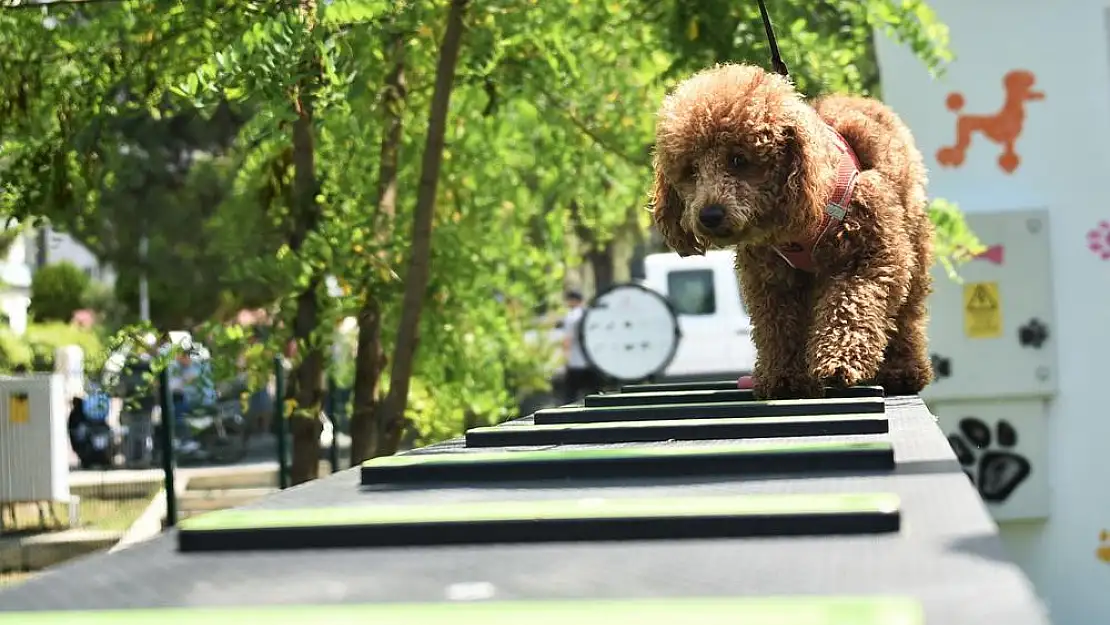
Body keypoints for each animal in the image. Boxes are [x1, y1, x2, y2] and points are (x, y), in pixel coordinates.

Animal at [648, 62, 936, 395]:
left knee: (907, 316)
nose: (709, 215)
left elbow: (850, 305)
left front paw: (839, 362)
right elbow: (778, 328)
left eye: (738, 159)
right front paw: (783, 378)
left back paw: (903, 370)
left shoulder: (871, 256)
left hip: (912, 248)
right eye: (691, 170)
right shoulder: (770, 279)